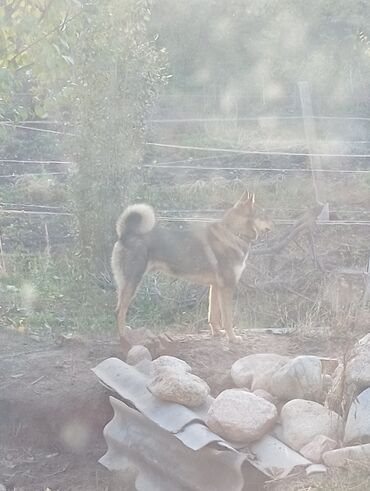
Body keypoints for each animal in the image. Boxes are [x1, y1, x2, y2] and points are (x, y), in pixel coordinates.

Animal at [111, 190, 270, 348]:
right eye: (262, 215)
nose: (272, 224)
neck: (234, 233)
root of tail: (126, 234)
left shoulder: (215, 286)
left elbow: (213, 315)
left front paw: (217, 333)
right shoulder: (227, 287)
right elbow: (227, 319)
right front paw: (233, 338)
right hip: (132, 282)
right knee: (119, 311)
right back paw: (125, 338)